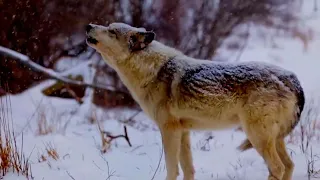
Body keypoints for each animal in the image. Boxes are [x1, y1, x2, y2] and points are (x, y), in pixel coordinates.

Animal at [85, 22, 304, 180]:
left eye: (112, 31)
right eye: (108, 26)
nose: (88, 25)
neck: (155, 72)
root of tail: (292, 78)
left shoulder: (169, 130)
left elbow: (172, 170)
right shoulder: (183, 132)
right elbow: (188, 169)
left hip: (257, 136)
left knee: (277, 168)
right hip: (273, 138)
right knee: (289, 165)